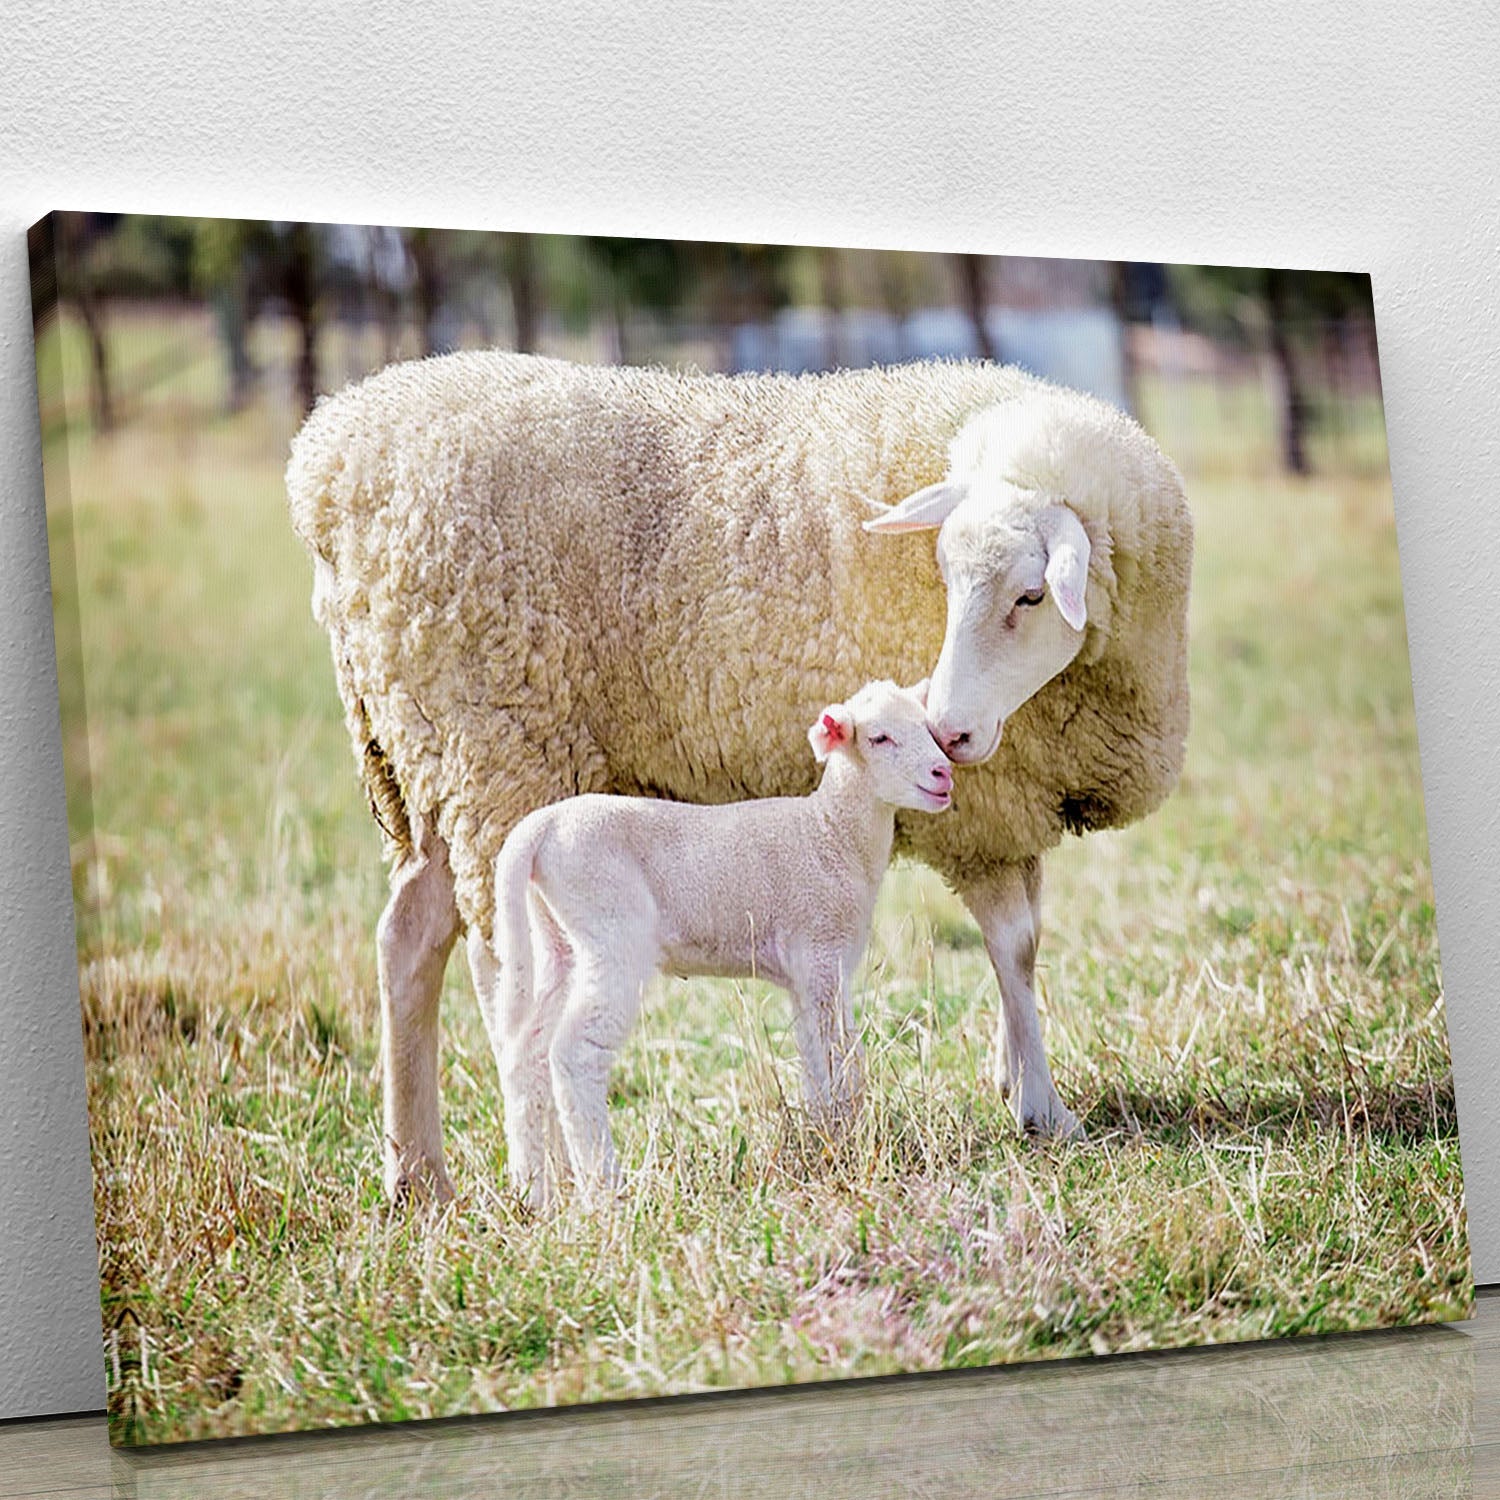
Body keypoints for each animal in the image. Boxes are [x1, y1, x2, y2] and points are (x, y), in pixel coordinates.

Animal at [490, 678, 952, 1208]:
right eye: (879, 738)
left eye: (927, 728)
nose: (943, 773)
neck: (830, 833)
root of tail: (541, 827)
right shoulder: (821, 952)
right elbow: (840, 1054)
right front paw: (849, 1137)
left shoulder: (805, 974)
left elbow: (815, 1059)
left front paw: (824, 1139)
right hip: (611, 927)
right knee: (574, 1052)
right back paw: (605, 1188)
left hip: (559, 940)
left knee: (525, 1052)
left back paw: (533, 1192)